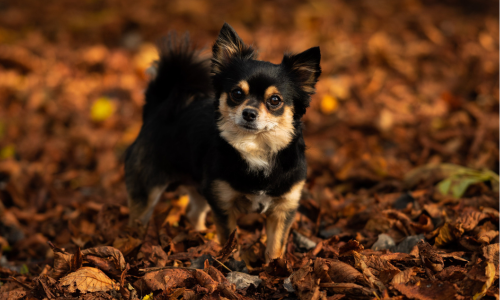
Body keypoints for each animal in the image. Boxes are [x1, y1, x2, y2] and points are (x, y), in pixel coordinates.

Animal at [124, 22, 320, 262]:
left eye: (275, 100)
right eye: (237, 93)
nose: (249, 113)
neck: (256, 148)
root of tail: (156, 110)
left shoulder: (283, 209)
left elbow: (275, 246)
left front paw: (273, 268)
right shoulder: (223, 204)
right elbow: (230, 242)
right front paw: (233, 264)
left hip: (199, 188)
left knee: (193, 213)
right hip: (147, 191)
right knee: (138, 221)